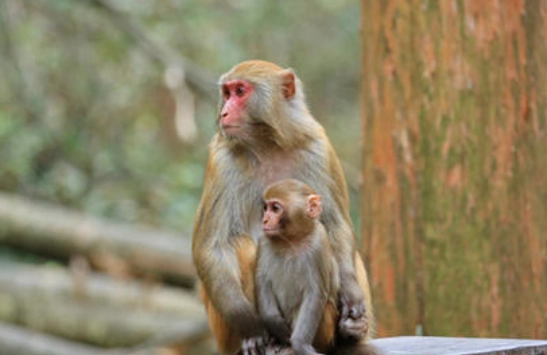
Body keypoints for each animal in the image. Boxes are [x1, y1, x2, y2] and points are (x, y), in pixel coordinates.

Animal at [256, 179, 338, 355]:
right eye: (266, 208)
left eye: (275, 208)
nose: (264, 220)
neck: (291, 241)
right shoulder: (264, 240)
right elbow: (262, 282)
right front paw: (275, 322)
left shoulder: (318, 243)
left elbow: (315, 294)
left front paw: (300, 344)